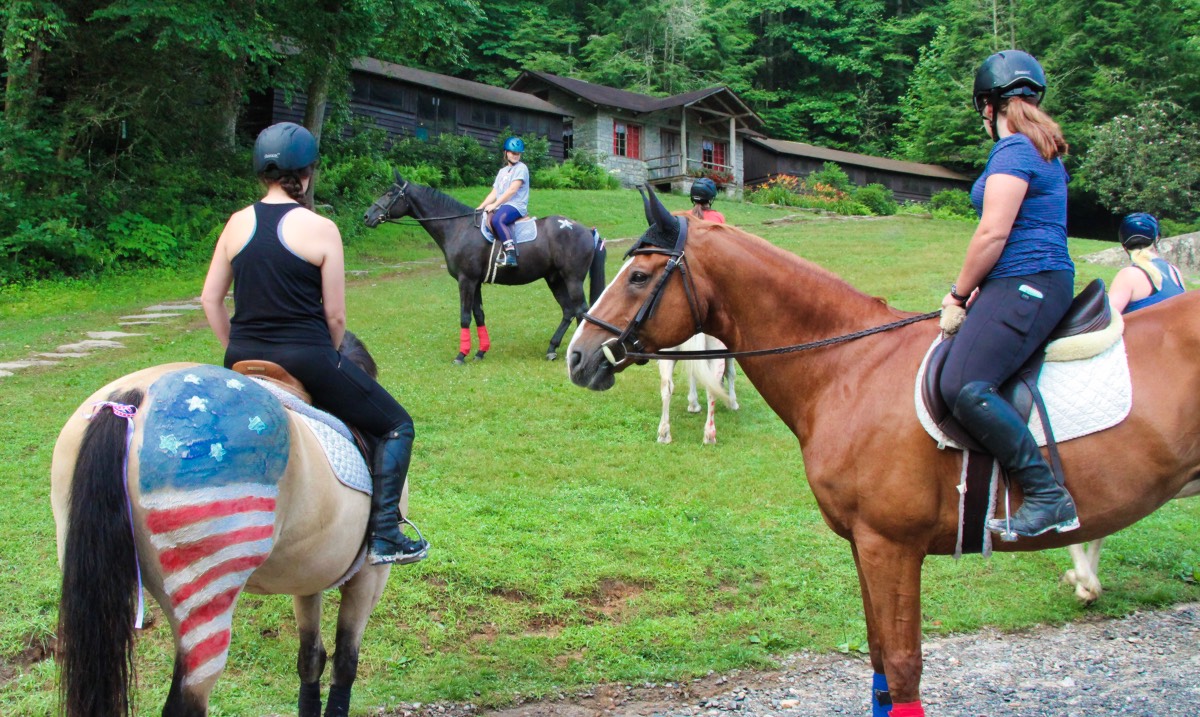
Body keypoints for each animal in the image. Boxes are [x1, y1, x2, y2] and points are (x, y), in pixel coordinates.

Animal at [52, 338, 403, 717]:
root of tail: (130, 401)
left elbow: (310, 658)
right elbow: (345, 663)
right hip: (207, 582)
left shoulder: (309, 575)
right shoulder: (369, 577)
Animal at [362, 172, 609, 364]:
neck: (458, 227)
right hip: (554, 279)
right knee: (569, 311)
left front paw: (461, 355)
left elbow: (464, 316)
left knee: (581, 310)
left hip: (572, 279)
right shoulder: (476, 282)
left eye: (389, 194)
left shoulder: (466, 280)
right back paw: (553, 349)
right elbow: (479, 314)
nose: (366, 216)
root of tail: (586, 230)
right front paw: (480, 352)